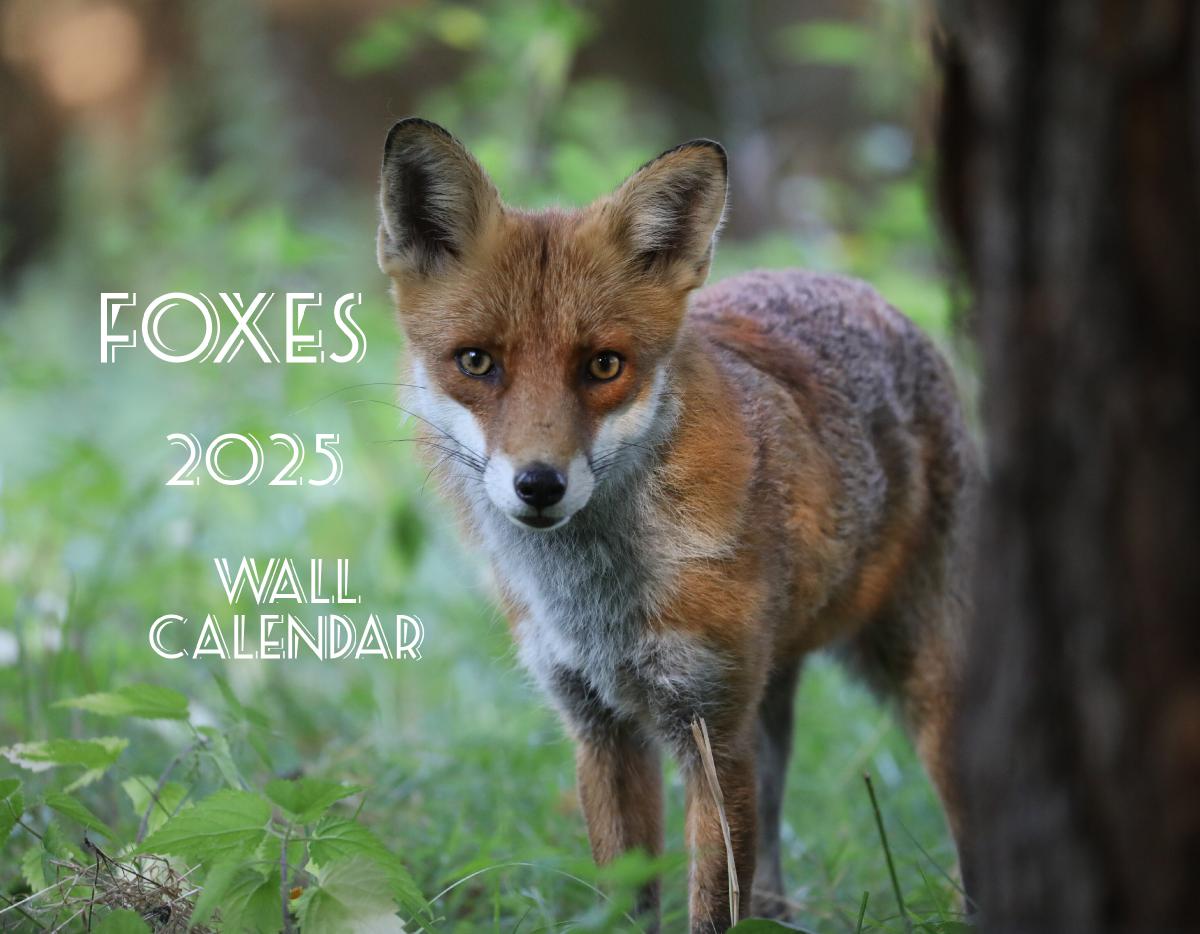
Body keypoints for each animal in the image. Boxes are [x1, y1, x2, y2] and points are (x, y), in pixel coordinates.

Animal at [376, 117, 977, 932]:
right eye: (476, 361)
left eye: (604, 366)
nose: (539, 484)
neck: (596, 603)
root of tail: (863, 291)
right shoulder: (599, 726)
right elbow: (628, 901)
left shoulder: (710, 733)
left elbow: (710, 907)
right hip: (769, 700)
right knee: (773, 875)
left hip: (921, 679)